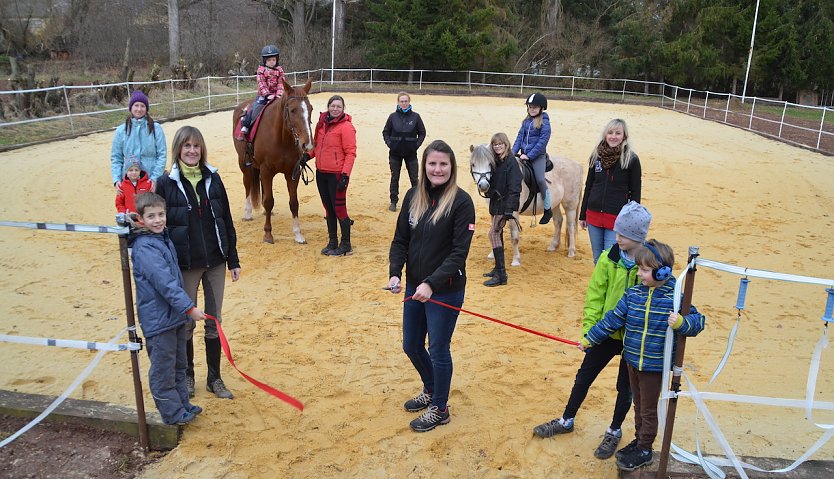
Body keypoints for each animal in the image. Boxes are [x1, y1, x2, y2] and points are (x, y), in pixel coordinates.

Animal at [232, 79, 314, 244]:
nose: (306, 144)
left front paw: (298, 234)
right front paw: (268, 234)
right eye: (293, 110)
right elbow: (269, 201)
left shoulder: (292, 173)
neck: (281, 138)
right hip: (244, 164)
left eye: (311, 109)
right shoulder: (266, 171)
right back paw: (248, 213)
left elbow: (294, 203)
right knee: (247, 184)